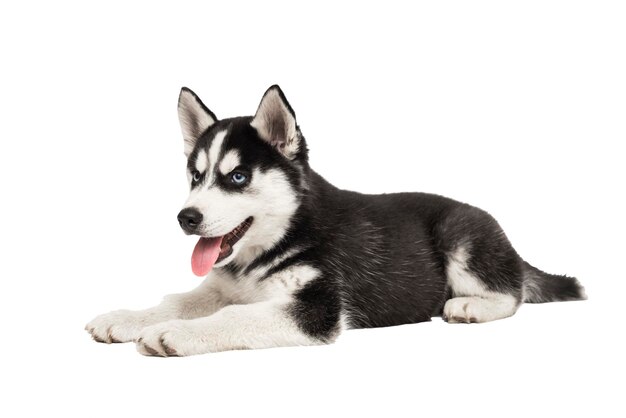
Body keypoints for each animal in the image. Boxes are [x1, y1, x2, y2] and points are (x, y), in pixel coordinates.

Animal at [84, 85, 584, 356]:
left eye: (237, 177)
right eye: (195, 176)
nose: (186, 218)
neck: (279, 238)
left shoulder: (316, 309)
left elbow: (232, 316)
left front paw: (172, 332)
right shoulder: (221, 285)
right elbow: (179, 299)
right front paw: (128, 317)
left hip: (460, 236)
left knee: (513, 292)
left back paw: (470, 306)